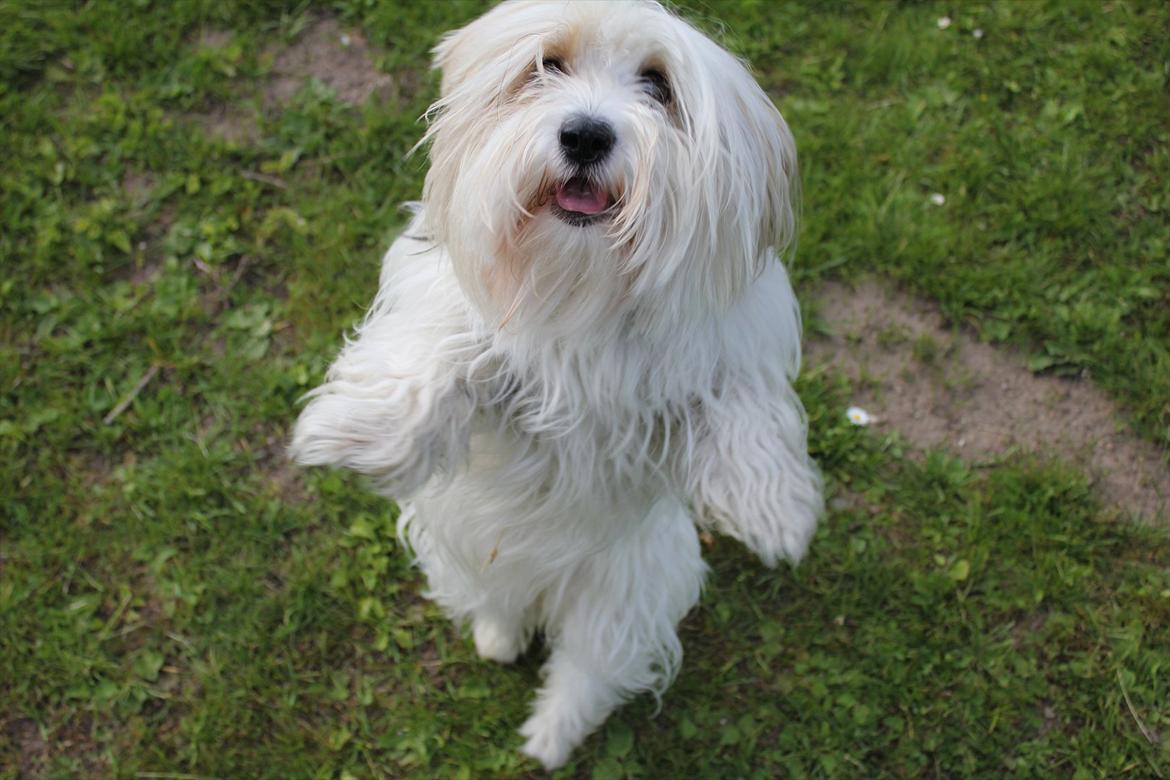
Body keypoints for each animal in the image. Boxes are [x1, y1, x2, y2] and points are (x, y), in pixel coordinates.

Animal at [291, 0, 823, 767]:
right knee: (498, 600)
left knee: (588, 668)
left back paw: (548, 735)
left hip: (623, 591)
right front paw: (353, 431)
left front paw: (773, 509)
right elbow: (442, 351)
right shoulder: (457, 312)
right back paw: (500, 637)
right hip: (461, 541)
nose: (586, 133)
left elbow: (739, 408)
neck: (576, 289)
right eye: (548, 65)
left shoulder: (730, 342)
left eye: (658, 86)